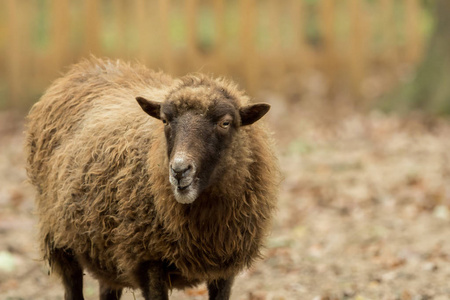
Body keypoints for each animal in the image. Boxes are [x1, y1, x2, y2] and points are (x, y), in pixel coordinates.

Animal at [24, 58, 280, 300]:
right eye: (165, 120)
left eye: (225, 122)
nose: (179, 171)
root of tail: (82, 68)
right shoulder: (148, 260)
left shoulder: (225, 267)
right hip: (60, 239)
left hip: (106, 251)